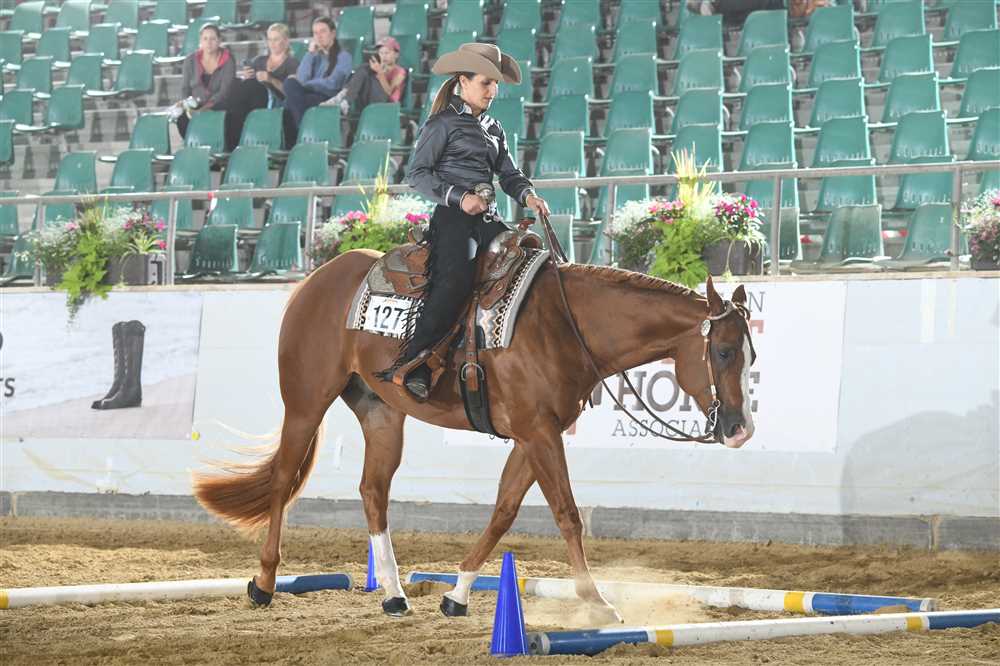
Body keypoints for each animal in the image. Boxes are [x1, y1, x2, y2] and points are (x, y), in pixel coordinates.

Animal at [193, 248, 756, 623]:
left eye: (751, 353)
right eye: (723, 351)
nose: (740, 429)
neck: (564, 325)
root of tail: (318, 278)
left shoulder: (534, 434)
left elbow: (504, 511)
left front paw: (457, 593)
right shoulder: (538, 432)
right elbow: (567, 514)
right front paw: (596, 603)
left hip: (381, 414)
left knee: (373, 492)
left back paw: (394, 594)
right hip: (306, 402)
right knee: (284, 479)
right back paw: (264, 583)